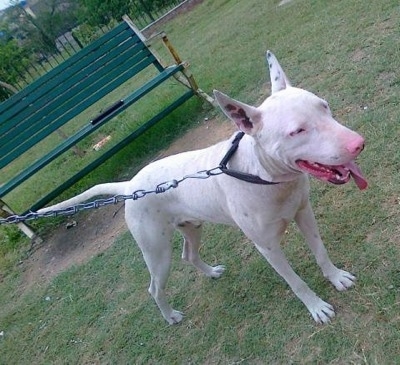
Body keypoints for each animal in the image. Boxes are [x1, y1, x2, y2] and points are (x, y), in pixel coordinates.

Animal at [39, 51, 368, 324]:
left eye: (324, 106)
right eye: (297, 131)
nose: (358, 143)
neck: (265, 176)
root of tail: (130, 185)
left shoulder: (304, 213)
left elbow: (320, 251)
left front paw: (336, 278)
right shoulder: (268, 247)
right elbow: (296, 282)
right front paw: (316, 307)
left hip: (192, 227)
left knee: (189, 255)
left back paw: (210, 273)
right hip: (157, 252)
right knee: (154, 288)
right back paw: (170, 316)